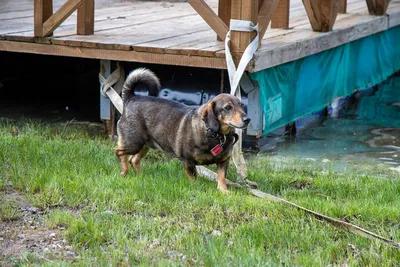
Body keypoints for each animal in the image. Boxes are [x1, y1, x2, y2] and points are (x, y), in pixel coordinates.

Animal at [114, 68, 250, 194]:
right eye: (228, 107)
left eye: (241, 105)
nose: (247, 119)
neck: (214, 134)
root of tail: (132, 98)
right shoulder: (188, 161)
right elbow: (194, 178)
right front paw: (197, 189)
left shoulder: (223, 161)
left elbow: (221, 177)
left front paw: (224, 191)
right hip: (133, 143)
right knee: (119, 151)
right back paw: (124, 172)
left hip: (145, 144)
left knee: (133, 160)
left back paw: (140, 176)